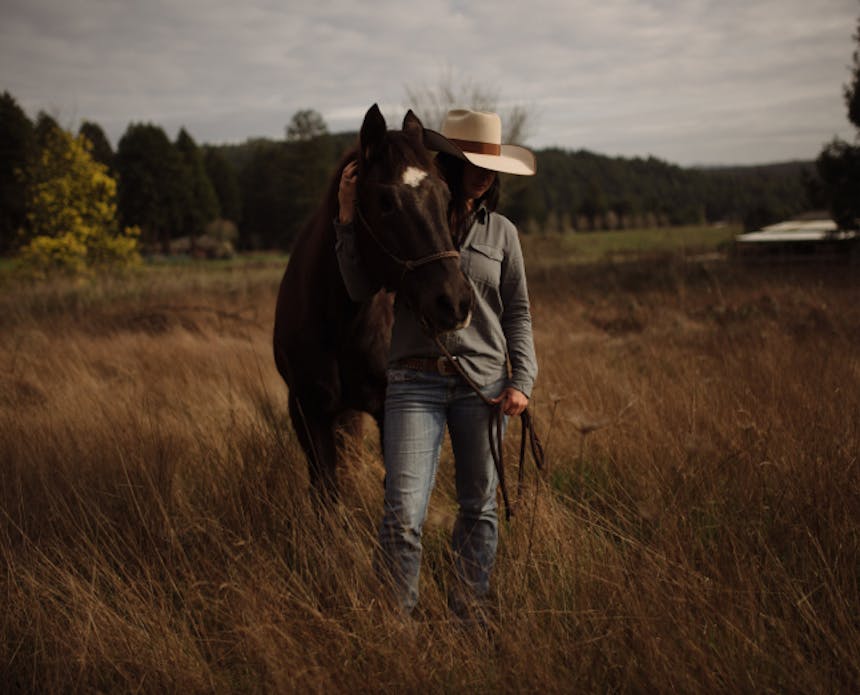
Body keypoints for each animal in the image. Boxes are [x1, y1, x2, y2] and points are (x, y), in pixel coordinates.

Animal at [272, 103, 470, 498]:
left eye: (445, 196)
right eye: (386, 201)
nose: (454, 301)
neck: (336, 319)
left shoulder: (387, 406)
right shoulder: (307, 411)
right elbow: (325, 490)